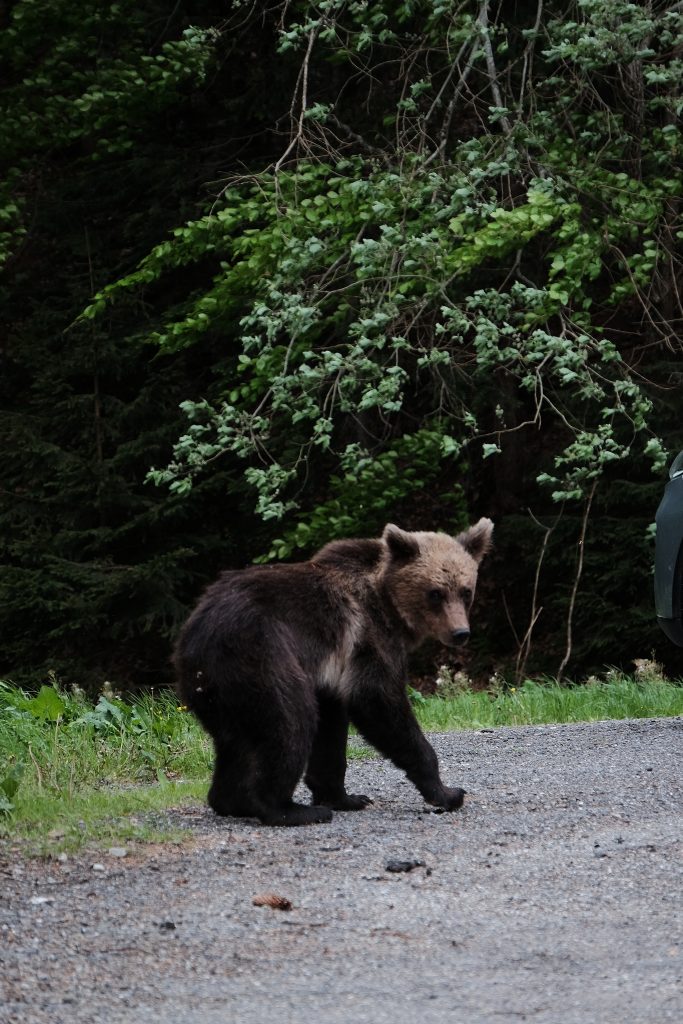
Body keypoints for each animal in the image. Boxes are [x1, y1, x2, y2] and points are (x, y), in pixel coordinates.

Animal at [174, 519, 493, 826]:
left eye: (465, 591)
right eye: (435, 592)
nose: (460, 632)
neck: (388, 602)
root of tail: (194, 634)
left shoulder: (331, 673)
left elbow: (331, 730)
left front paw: (347, 797)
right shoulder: (368, 637)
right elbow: (377, 699)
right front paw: (448, 792)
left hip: (219, 691)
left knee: (235, 743)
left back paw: (231, 801)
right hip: (260, 654)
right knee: (290, 720)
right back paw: (289, 810)